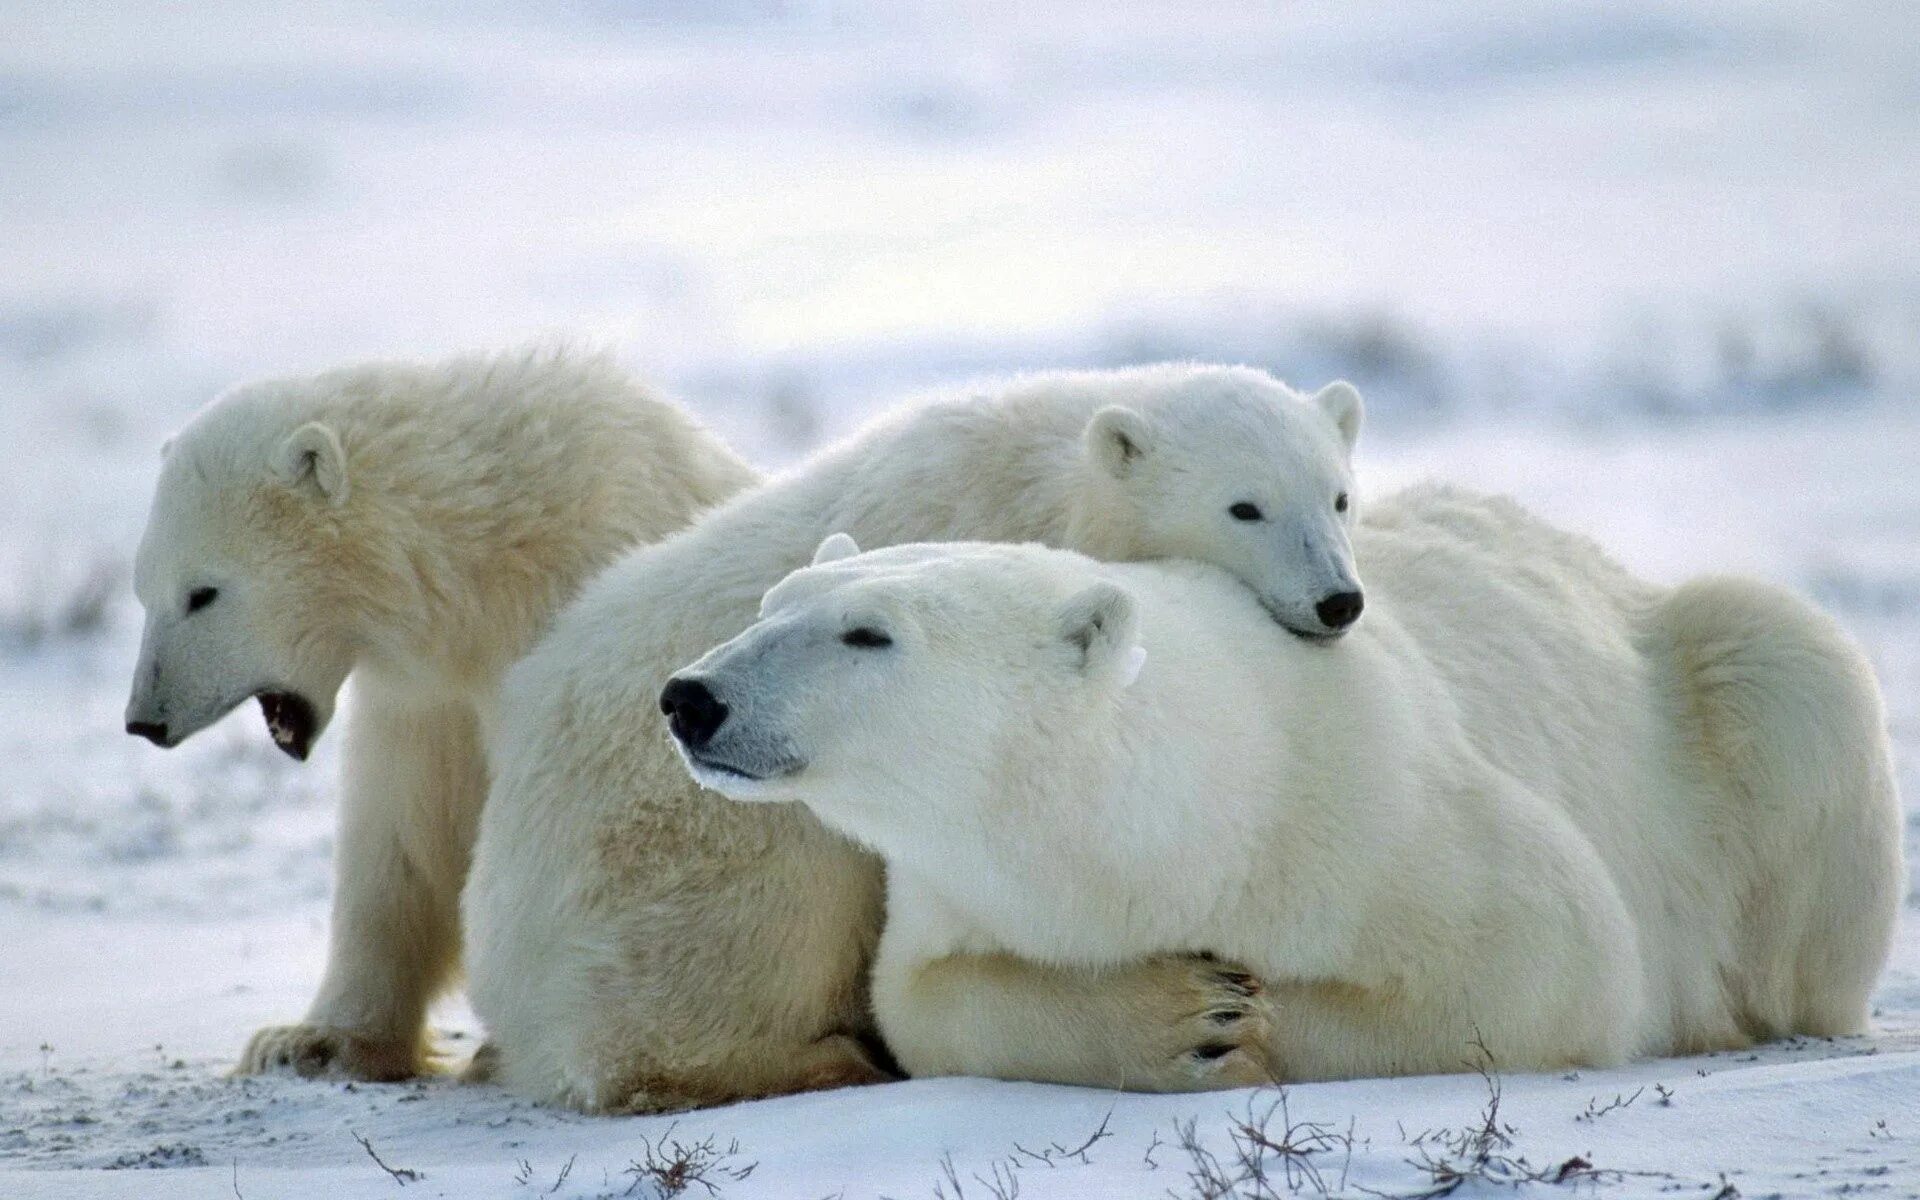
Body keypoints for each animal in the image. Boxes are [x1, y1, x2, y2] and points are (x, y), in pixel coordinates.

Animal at [125, 345, 756, 1075]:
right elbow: (401, 840)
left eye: (203, 593)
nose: (144, 719)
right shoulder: (426, 701)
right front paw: (308, 1041)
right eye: (142, 590)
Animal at [462, 360, 1367, 1105]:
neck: (1052, 474)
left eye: (1339, 496)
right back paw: (820, 1060)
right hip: (671, 849)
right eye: (1245, 506)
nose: (1339, 601)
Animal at [675, 499, 1904, 1082]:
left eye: (867, 633)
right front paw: (1188, 1017)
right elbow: (926, 1004)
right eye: (772, 602)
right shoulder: (955, 892)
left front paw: (1250, 1020)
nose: (691, 698)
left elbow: (1553, 961)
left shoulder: (1379, 812)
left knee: (1785, 658)